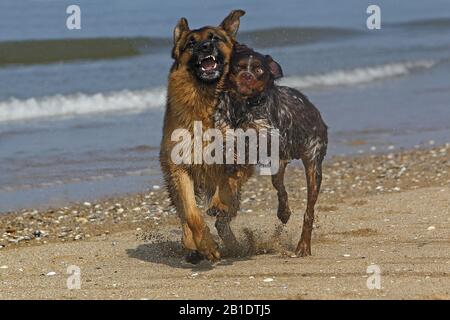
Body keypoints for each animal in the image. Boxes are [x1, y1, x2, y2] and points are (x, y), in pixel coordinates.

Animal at [159, 10, 253, 264]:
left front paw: (219, 202)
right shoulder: (179, 168)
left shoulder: (239, 157)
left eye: (215, 38)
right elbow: (192, 214)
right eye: (191, 43)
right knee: (184, 216)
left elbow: (228, 182)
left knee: (223, 221)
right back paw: (192, 245)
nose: (204, 46)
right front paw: (205, 245)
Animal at [214, 45, 326, 256]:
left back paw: (303, 245)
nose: (247, 76)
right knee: (279, 187)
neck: (243, 106)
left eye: (259, 69)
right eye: (238, 67)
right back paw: (283, 211)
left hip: (313, 164)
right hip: (279, 165)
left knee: (309, 211)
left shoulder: (268, 137)